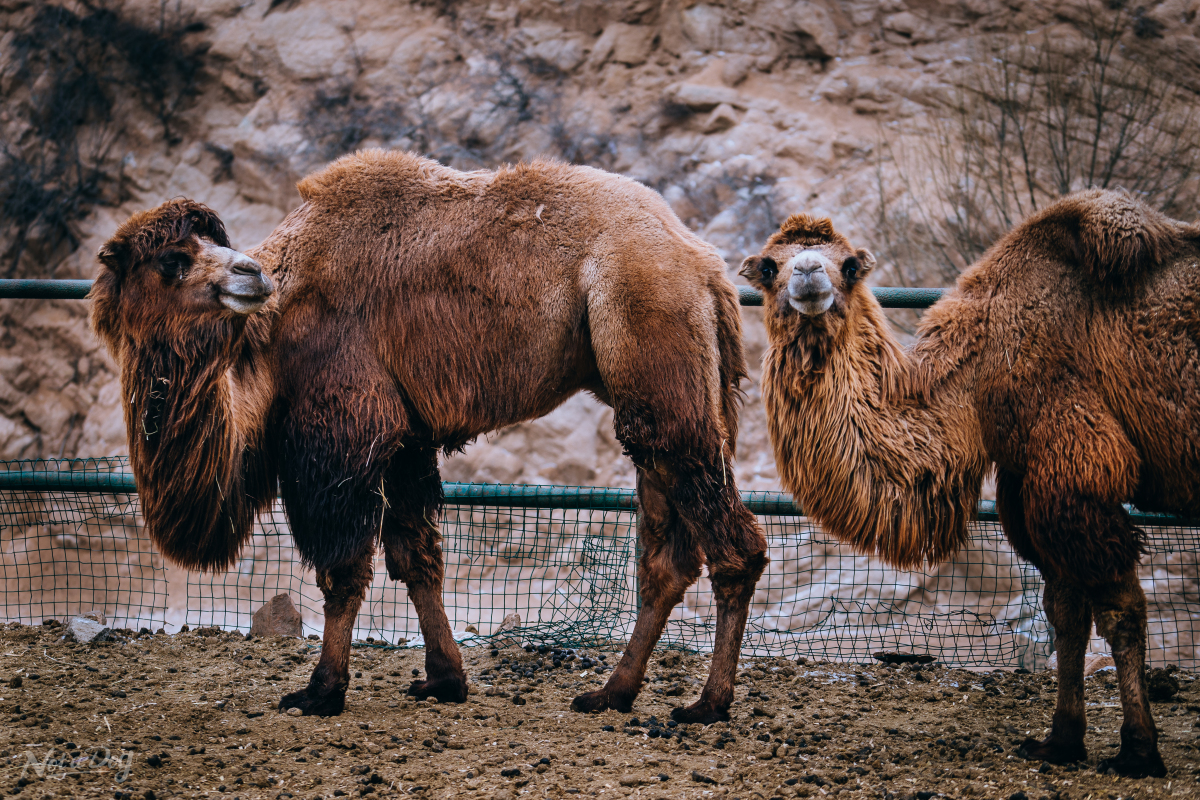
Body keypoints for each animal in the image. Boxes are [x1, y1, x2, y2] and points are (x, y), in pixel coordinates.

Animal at [93, 146, 768, 724]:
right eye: (173, 259)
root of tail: (706, 265)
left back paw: (707, 704)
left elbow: (343, 568)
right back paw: (611, 693)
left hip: (650, 337)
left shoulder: (343, 429)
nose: (248, 273)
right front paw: (444, 680)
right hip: (655, 384)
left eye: (207, 247)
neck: (269, 338)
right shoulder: (405, 439)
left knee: (733, 542)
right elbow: (416, 557)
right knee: (665, 554)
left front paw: (321, 692)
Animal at [739, 190, 1200, 777]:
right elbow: (1066, 612)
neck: (978, 373)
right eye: (770, 266)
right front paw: (1060, 741)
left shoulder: (1076, 467)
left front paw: (1138, 749)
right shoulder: (1027, 483)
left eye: (848, 265)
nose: (808, 274)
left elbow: (1119, 611)